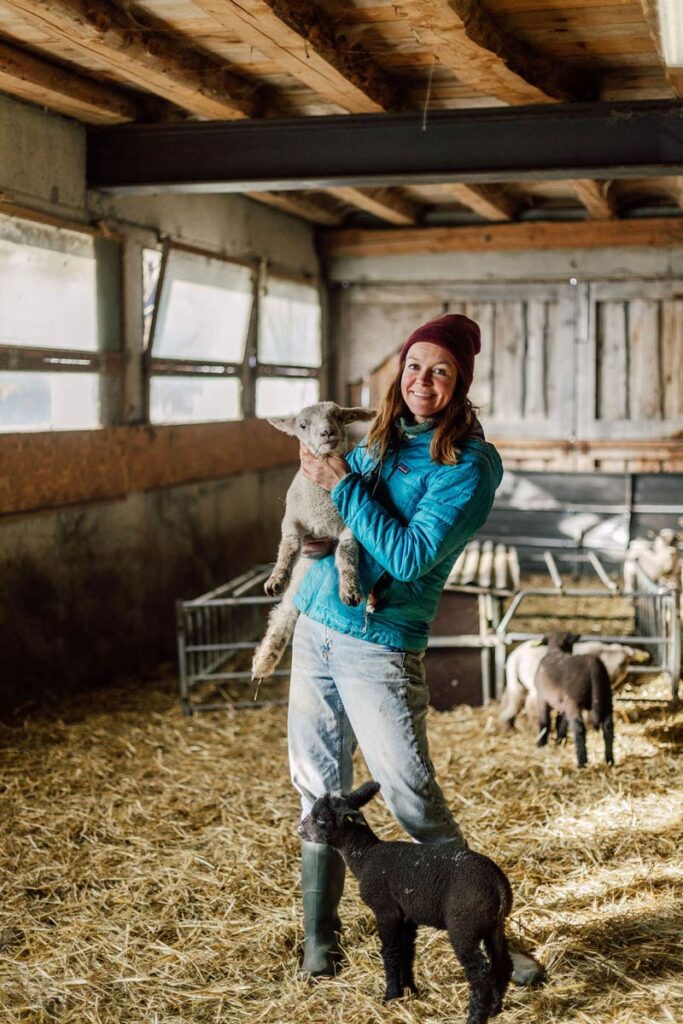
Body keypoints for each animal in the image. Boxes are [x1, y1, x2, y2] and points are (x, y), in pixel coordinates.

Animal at [250, 397, 374, 679]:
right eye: (303, 425)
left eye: (339, 417)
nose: (327, 432)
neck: (321, 509)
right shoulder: (292, 521)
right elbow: (288, 547)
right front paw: (276, 579)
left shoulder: (349, 527)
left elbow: (346, 555)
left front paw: (350, 590)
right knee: (284, 613)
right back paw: (264, 661)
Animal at [299, 778, 511, 1019]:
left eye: (322, 819)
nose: (300, 830)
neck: (366, 856)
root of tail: (497, 884)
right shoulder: (408, 917)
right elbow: (407, 951)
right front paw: (410, 989)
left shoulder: (385, 910)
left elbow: (390, 951)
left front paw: (391, 994)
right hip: (493, 926)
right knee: (502, 964)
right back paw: (494, 1009)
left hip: (464, 924)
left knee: (480, 973)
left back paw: (475, 1016)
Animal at [501, 634, 651, 733]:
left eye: (624, 663)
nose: (612, 679)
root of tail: (517, 655)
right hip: (535, 685)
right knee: (531, 706)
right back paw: (537, 729)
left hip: (517, 684)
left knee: (513, 701)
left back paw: (509, 728)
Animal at [536, 630, 618, 770]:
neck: (556, 650)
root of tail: (593, 664)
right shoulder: (562, 703)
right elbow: (561, 722)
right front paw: (559, 741)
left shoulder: (542, 698)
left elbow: (544, 721)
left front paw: (541, 743)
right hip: (606, 698)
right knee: (608, 727)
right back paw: (609, 761)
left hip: (574, 701)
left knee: (579, 728)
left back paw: (581, 762)